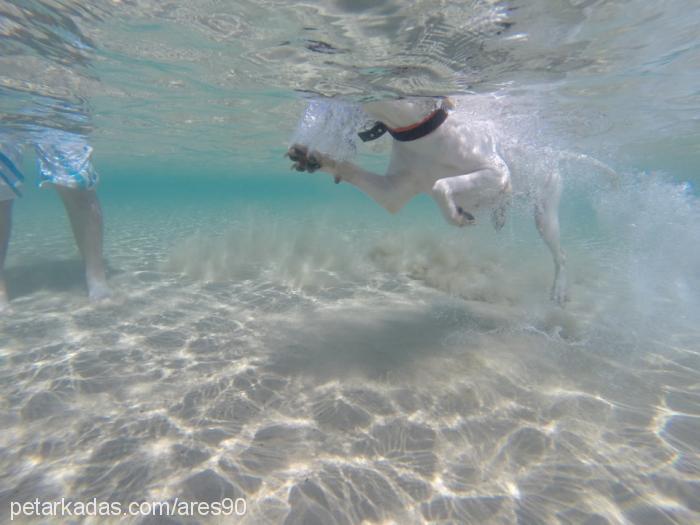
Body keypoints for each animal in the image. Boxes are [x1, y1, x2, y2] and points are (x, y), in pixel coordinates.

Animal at [288, 96, 592, 304]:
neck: (418, 134)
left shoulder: (497, 172)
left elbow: (440, 185)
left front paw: (456, 215)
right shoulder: (392, 192)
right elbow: (350, 169)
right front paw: (316, 158)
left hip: (545, 214)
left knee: (561, 255)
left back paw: (559, 290)